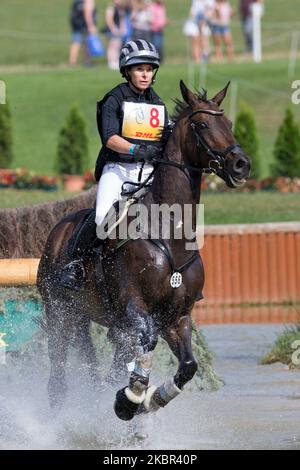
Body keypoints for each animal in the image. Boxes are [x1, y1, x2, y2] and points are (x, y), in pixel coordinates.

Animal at [37, 79, 251, 420]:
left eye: (228, 124)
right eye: (202, 125)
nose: (242, 165)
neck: (171, 233)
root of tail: (58, 229)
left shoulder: (176, 316)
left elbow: (188, 365)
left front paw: (150, 399)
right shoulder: (135, 306)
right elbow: (147, 343)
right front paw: (129, 399)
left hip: (93, 318)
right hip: (60, 312)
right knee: (57, 376)